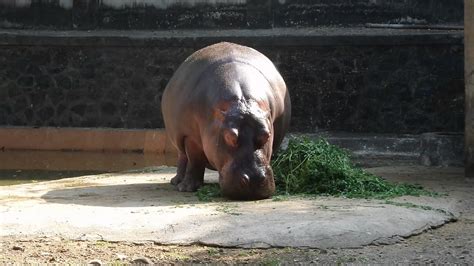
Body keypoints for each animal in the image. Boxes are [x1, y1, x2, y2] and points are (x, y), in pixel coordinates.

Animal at [161, 41, 290, 200]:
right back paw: (177, 182)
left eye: (266, 135)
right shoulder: (190, 137)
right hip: (179, 138)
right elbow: (195, 160)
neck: (241, 102)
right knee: (183, 158)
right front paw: (187, 188)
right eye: (230, 136)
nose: (253, 179)